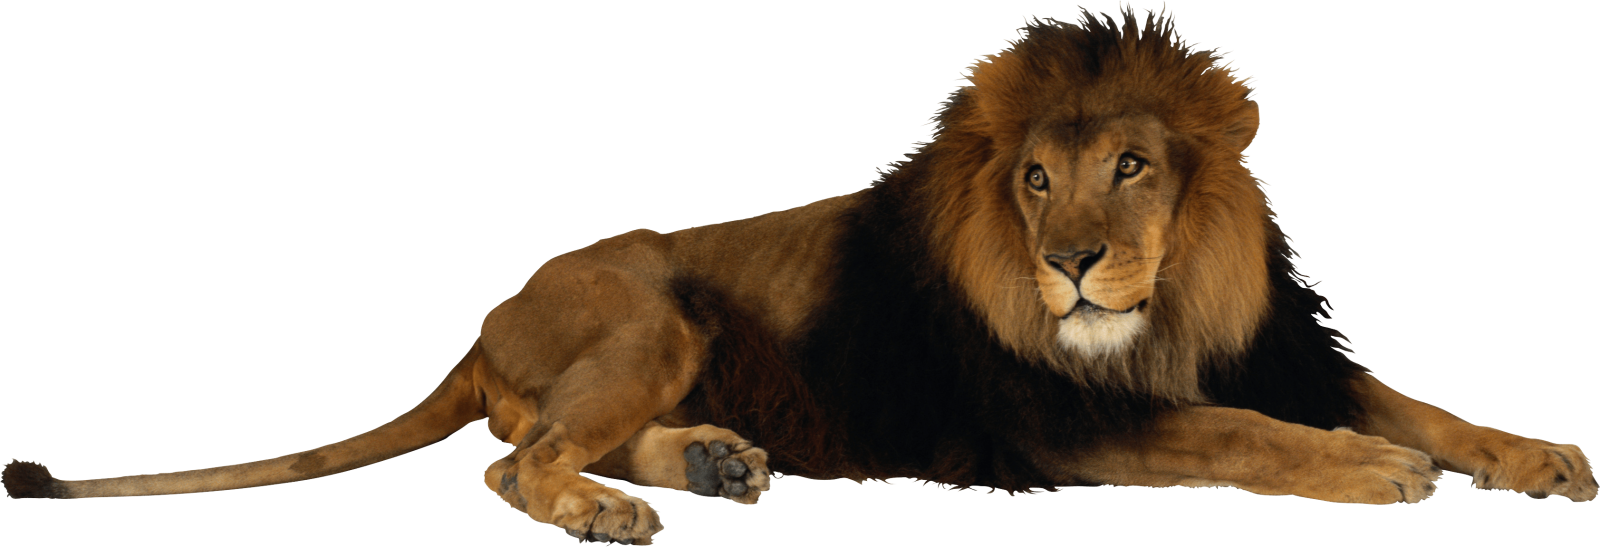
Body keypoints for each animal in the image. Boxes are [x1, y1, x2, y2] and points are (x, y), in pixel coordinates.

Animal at [6, 5, 1594, 544]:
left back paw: (713, 462)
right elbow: (1257, 437)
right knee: (515, 460)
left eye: (1133, 166)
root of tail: (483, 315)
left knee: (540, 438)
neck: (1168, 307)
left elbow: (1422, 403)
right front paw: (1375, 473)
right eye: (1035, 179)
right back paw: (616, 509)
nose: (1070, 262)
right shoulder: (1067, 417)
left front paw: (1539, 452)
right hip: (647, 309)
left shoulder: (1282, 350)